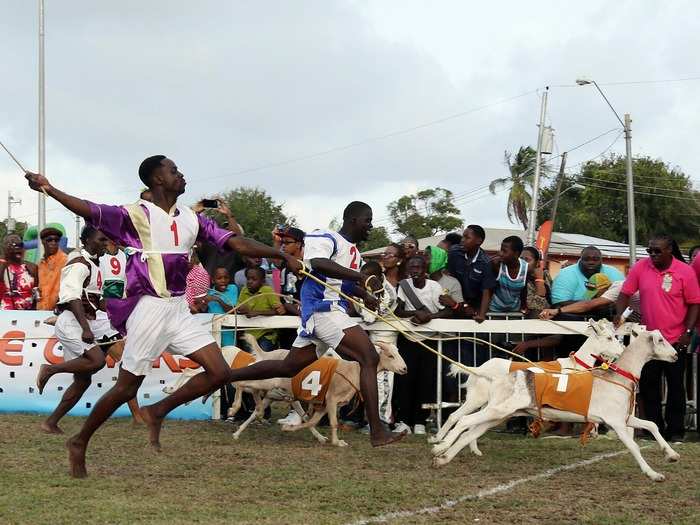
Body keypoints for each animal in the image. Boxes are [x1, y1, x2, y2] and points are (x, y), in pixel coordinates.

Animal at [432, 320, 624, 450]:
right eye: (609, 337)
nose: (622, 351)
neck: (575, 365)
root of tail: (478, 368)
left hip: (487, 401)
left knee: (468, 422)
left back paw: (468, 448)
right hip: (477, 398)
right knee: (455, 416)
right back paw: (438, 440)